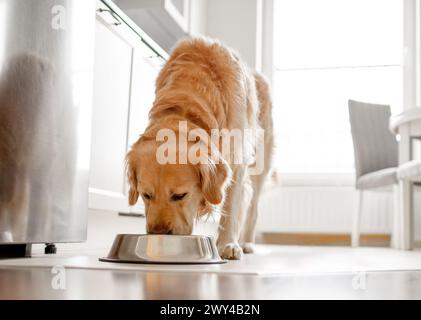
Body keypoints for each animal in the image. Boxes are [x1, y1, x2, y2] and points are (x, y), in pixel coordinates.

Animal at [126, 37, 274, 258]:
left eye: (180, 195)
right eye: (146, 195)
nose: (158, 233)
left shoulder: (237, 160)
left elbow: (231, 206)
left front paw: (228, 245)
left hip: (260, 163)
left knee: (253, 207)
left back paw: (246, 243)